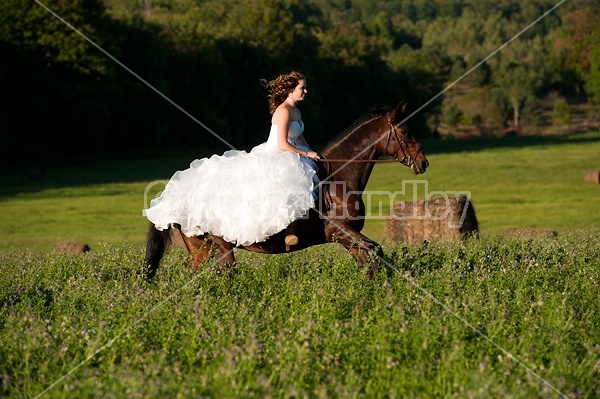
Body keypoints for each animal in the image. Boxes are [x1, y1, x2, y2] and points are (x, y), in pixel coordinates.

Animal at [144, 101, 428, 280]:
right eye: (405, 131)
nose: (423, 163)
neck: (338, 177)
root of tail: (174, 197)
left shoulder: (348, 237)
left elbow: (369, 260)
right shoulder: (341, 232)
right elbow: (376, 252)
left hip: (201, 248)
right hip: (221, 248)